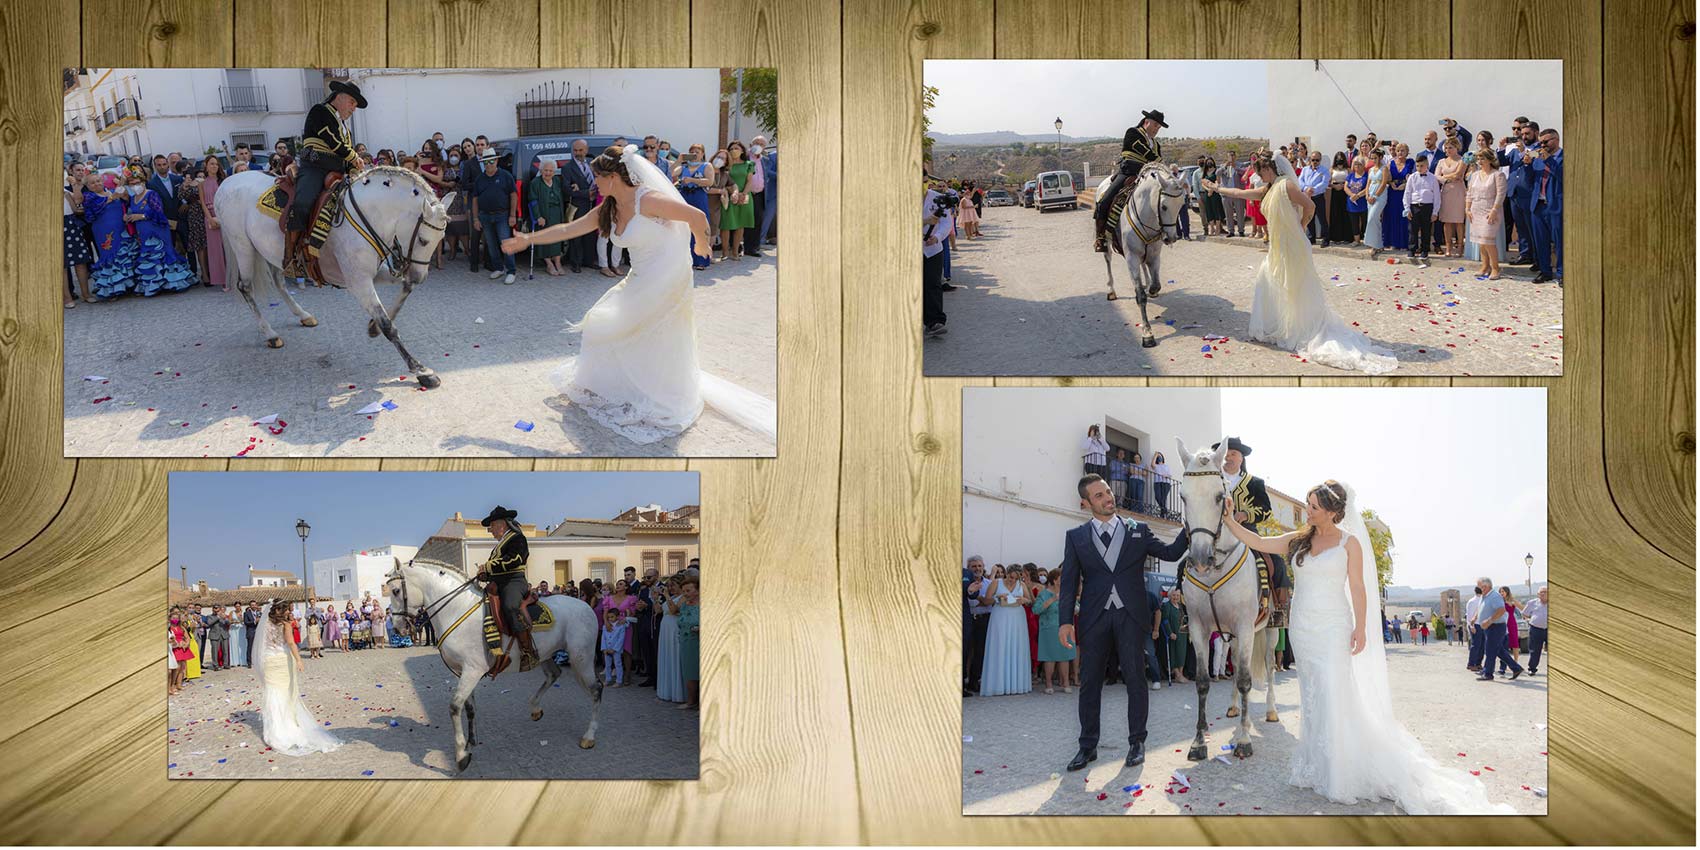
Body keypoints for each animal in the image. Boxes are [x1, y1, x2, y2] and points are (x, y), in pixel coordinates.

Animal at [209, 167, 455, 387]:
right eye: (423, 240)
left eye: (441, 238)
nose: (420, 276)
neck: (368, 215)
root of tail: (226, 182)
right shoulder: (358, 282)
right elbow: (388, 325)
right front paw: (421, 370)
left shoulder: (376, 273)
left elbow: (404, 289)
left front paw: (372, 327)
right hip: (243, 247)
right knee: (245, 287)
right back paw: (270, 334)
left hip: (274, 253)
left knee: (279, 282)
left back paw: (303, 314)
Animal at [385, 557, 605, 771]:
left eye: (396, 591)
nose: (396, 628)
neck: (457, 609)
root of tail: (586, 607)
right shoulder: (462, 672)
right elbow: (469, 707)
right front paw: (471, 742)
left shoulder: (472, 670)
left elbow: (455, 707)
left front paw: (461, 755)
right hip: (546, 655)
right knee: (554, 674)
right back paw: (535, 707)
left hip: (581, 658)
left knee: (596, 689)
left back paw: (589, 736)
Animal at [1094, 164, 1190, 346]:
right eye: (1164, 206)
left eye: (1181, 204)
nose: (1171, 237)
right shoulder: (1131, 257)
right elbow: (1140, 296)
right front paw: (1147, 333)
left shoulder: (1154, 255)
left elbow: (1156, 284)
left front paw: (1152, 289)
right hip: (1107, 243)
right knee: (1108, 260)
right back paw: (1111, 290)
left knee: (1144, 266)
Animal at [1176, 438, 1278, 758]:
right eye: (1183, 497)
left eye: (1220, 496)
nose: (1199, 559)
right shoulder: (1198, 628)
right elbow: (1202, 682)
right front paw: (1198, 743)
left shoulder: (1245, 626)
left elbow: (1246, 679)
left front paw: (1244, 741)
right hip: (1230, 635)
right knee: (1232, 666)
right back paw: (1234, 708)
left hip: (1269, 630)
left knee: (1269, 666)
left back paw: (1271, 711)